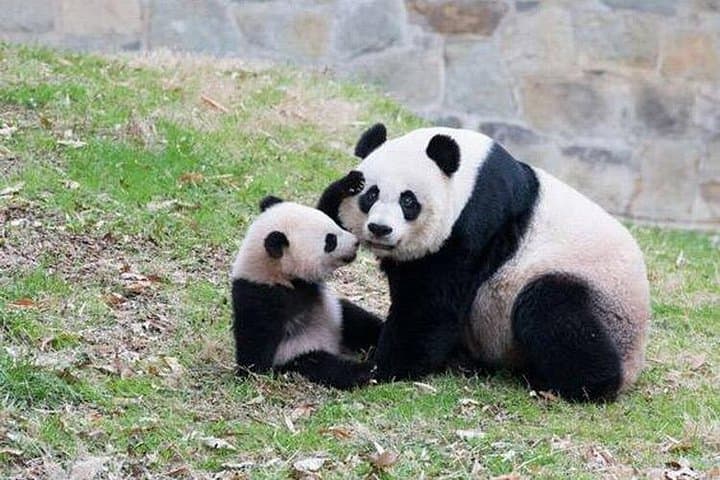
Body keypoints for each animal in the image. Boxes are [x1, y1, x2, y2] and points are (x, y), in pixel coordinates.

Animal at [231, 195, 383, 390]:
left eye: (334, 223)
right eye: (330, 241)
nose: (356, 242)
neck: (282, 276)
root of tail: (335, 345)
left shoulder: (308, 284)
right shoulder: (261, 294)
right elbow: (255, 340)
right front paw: (250, 373)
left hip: (339, 318)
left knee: (360, 321)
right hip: (301, 351)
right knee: (326, 366)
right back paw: (367, 370)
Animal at [318, 124, 651, 401]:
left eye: (408, 201)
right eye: (370, 195)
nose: (380, 229)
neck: (469, 172)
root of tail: (634, 362)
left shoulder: (476, 222)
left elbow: (431, 307)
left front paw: (370, 370)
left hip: (600, 297)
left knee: (551, 308)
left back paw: (577, 382)